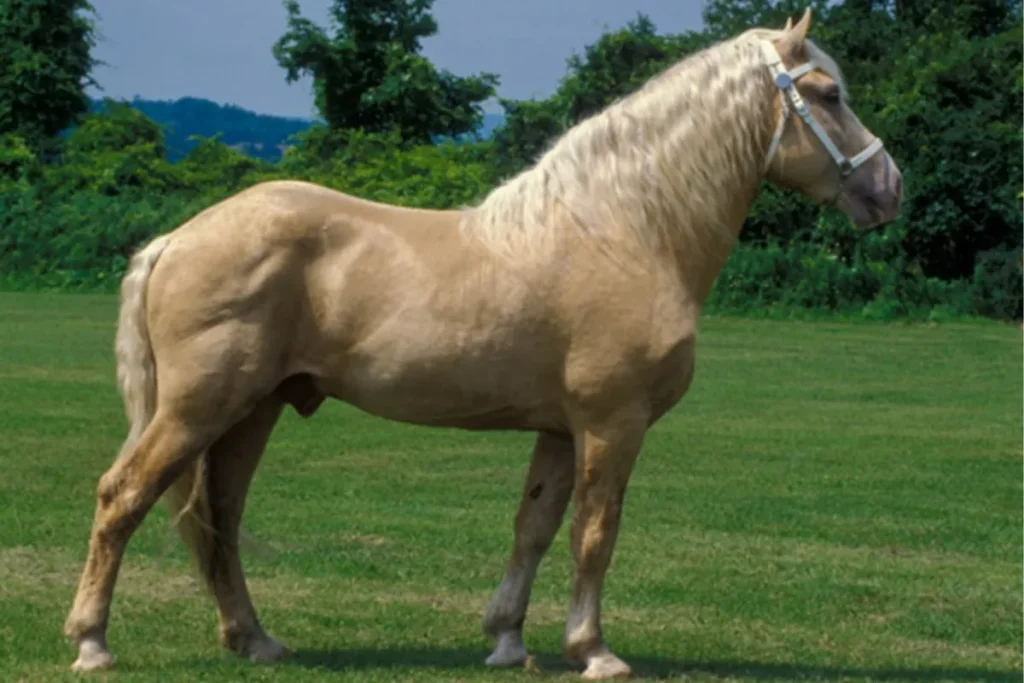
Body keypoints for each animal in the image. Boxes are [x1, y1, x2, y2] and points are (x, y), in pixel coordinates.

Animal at [64, 9, 902, 679]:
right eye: (829, 95)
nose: (890, 187)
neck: (626, 230)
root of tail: (176, 239)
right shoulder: (612, 424)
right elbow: (595, 533)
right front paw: (593, 650)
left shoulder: (561, 430)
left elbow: (534, 528)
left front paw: (507, 639)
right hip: (199, 407)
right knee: (123, 495)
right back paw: (92, 641)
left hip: (251, 410)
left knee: (221, 516)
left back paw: (254, 637)